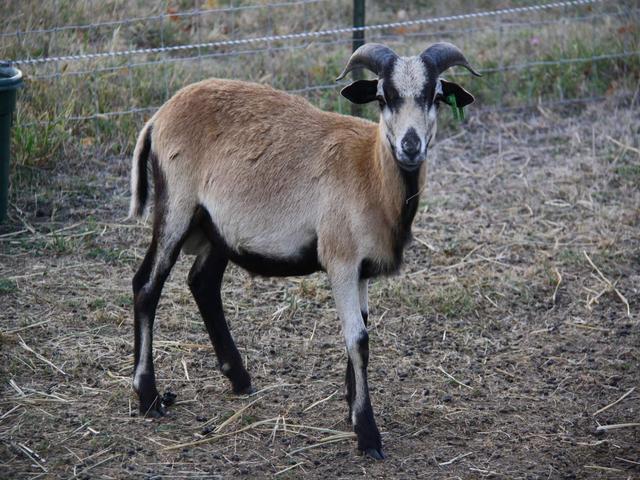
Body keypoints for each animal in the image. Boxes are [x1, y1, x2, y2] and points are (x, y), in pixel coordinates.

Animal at [128, 42, 480, 459]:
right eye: (383, 97)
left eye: (435, 96)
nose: (410, 146)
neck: (370, 173)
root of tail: (158, 118)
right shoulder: (340, 260)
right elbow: (358, 340)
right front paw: (368, 434)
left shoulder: (361, 269)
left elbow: (361, 331)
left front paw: (351, 409)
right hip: (177, 207)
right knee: (147, 285)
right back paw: (149, 397)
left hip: (218, 229)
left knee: (203, 283)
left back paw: (239, 378)